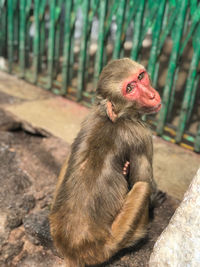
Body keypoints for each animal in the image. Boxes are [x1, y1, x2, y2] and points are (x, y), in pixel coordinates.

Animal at [49, 57, 162, 266]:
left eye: (141, 77)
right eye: (130, 88)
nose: (152, 95)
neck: (115, 117)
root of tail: (73, 252)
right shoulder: (141, 136)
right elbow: (145, 183)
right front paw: (156, 199)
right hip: (116, 240)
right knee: (142, 187)